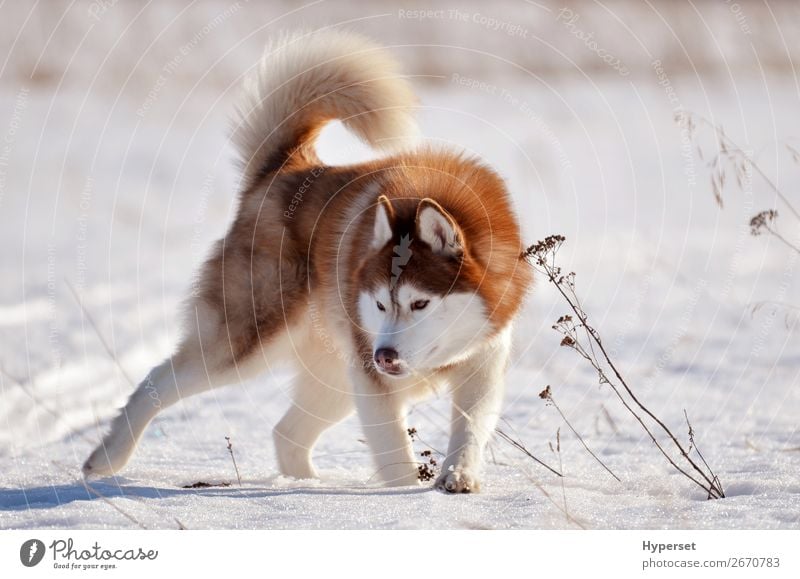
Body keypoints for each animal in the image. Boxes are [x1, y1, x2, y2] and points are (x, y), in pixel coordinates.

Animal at [83, 29, 532, 492]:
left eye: (420, 303)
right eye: (380, 304)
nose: (384, 356)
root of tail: (283, 170)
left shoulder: (482, 362)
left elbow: (471, 427)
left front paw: (459, 476)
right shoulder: (372, 381)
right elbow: (394, 454)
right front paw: (406, 495)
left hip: (334, 373)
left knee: (287, 434)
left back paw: (305, 487)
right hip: (251, 341)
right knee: (157, 379)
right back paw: (106, 459)